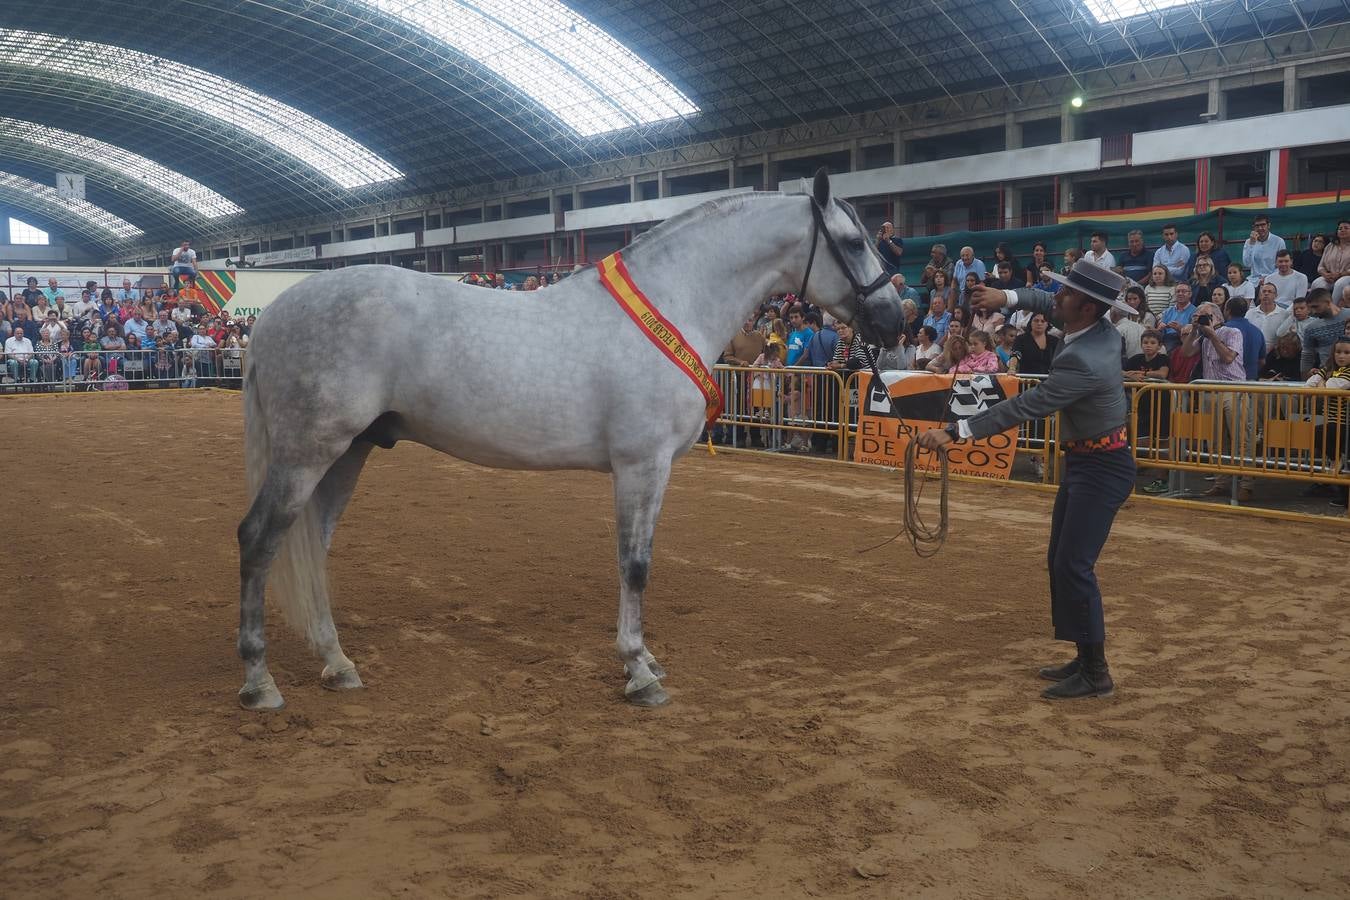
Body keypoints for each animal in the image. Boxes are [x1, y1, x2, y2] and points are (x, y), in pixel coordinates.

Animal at [237, 172, 901, 712]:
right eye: (852, 242)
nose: (895, 320)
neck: (672, 301)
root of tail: (268, 318)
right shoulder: (640, 465)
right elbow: (635, 564)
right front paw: (638, 672)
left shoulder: (652, 470)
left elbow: (639, 559)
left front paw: (646, 661)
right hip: (308, 453)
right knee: (259, 539)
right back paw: (259, 681)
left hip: (347, 453)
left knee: (313, 546)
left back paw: (337, 664)